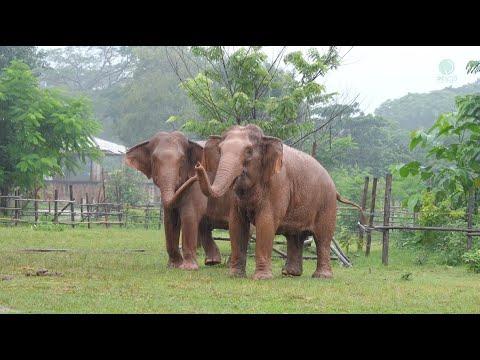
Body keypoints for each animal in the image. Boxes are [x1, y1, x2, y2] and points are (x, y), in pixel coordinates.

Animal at [124, 131, 232, 270]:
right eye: (154, 160)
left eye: (182, 160)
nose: (198, 169)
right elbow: (169, 220)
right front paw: (173, 266)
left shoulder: (196, 188)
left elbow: (189, 216)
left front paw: (188, 268)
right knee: (205, 226)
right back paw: (212, 262)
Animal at [194, 125, 364, 280]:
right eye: (220, 150)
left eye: (249, 151)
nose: (198, 165)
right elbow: (236, 224)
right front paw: (235, 275)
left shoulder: (278, 185)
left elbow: (266, 223)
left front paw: (262, 278)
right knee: (295, 237)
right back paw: (290, 274)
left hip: (327, 204)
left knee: (322, 237)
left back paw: (321, 276)